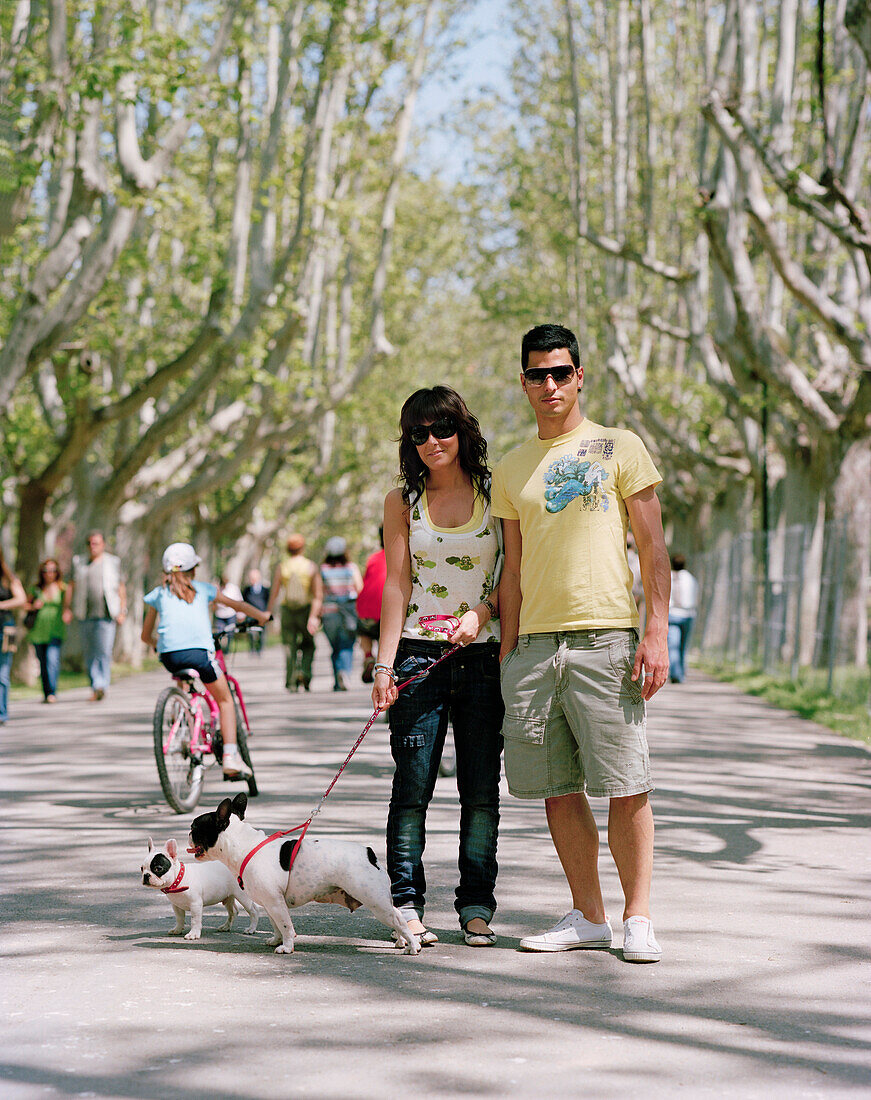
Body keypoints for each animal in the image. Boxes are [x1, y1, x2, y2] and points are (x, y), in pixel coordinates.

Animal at [189, 792, 420, 954]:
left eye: (195, 827)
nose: (189, 833)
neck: (244, 845)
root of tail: (369, 853)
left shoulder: (275, 902)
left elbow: (285, 925)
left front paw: (286, 947)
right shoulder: (271, 902)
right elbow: (275, 924)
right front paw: (275, 940)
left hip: (373, 899)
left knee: (399, 919)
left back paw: (412, 946)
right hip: (379, 900)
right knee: (397, 915)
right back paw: (401, 942)